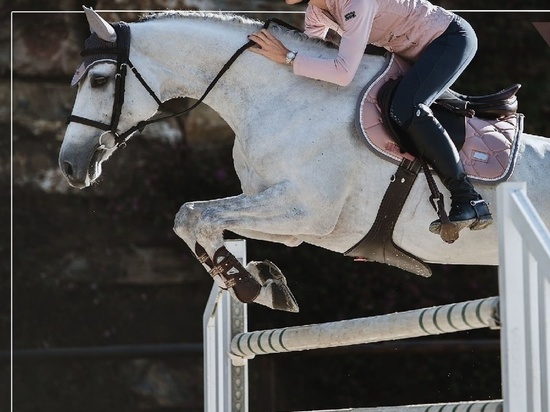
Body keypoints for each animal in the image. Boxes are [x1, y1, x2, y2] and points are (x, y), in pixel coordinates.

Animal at [60, 8, 550, 312]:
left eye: (99, 80)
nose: (68, 166)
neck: (279, 97)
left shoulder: (306, 209)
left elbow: (194, 213)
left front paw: (249, 284)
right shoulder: (295, 223)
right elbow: (194, 220)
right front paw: (260, 283)